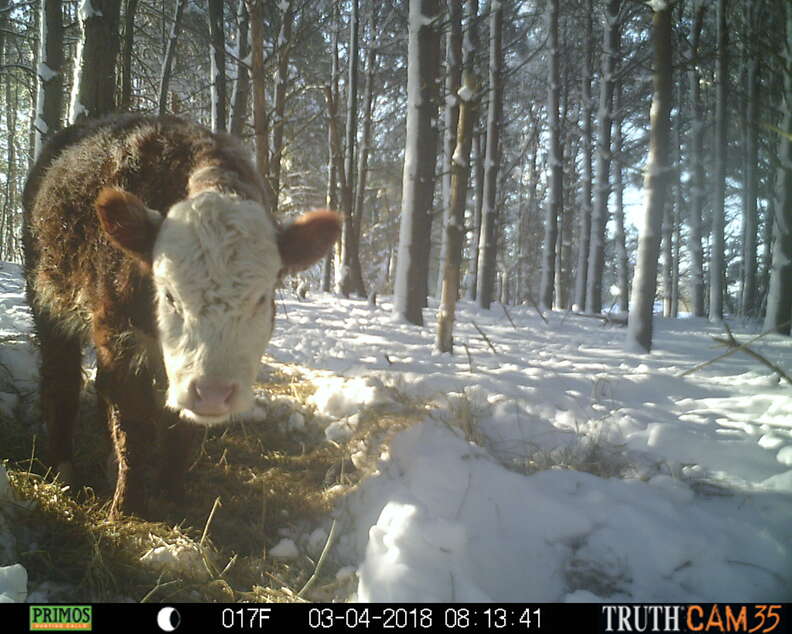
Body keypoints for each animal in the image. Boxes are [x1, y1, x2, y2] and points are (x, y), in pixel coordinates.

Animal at [23, 113, 338, 516]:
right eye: (168, 294)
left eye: (262, 297)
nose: (214, 393)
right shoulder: (117, 332)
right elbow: (134, 419)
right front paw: (128, 504)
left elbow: (179, 426)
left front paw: (172, 494)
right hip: (45, 296)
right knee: (61, 380)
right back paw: (61, 468)